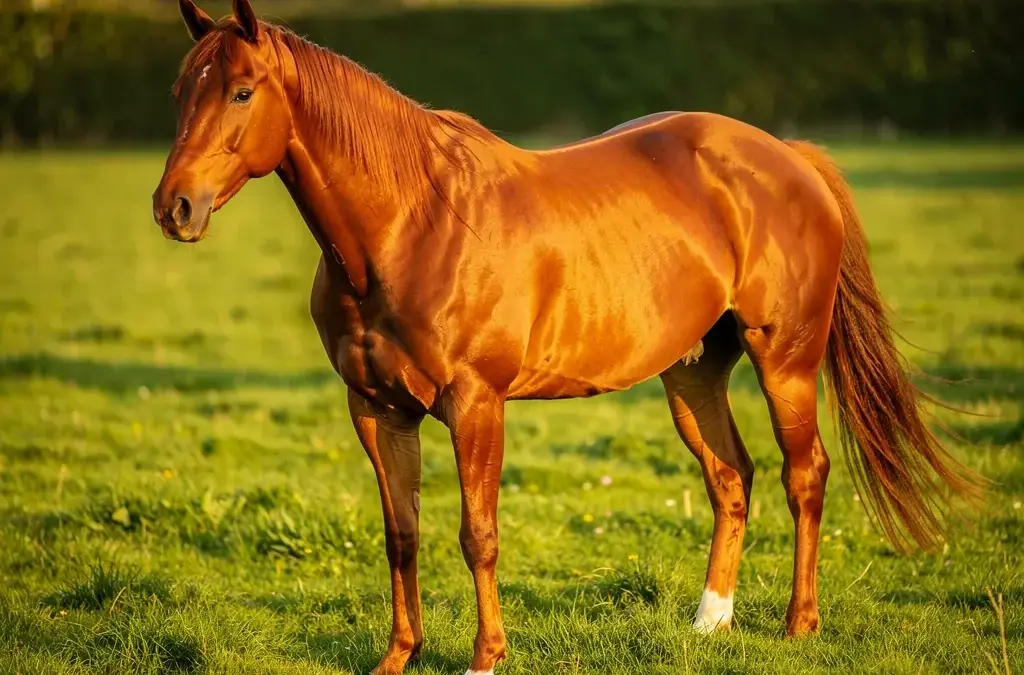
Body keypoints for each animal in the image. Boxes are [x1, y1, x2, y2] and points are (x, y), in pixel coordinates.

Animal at [152, 2, 985, 673]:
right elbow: (402, 533)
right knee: (730, 476)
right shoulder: (376, 408)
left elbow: (477, 533)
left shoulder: (476, 403)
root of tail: (791, 157)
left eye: (242, 90)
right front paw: (398, 656)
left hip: (784, 357)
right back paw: (709, 622)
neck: (410, 223)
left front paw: (485, 657)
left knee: (803, 473)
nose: (175, 207)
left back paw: (798, 624)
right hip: (691, 371)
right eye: (180, 92)